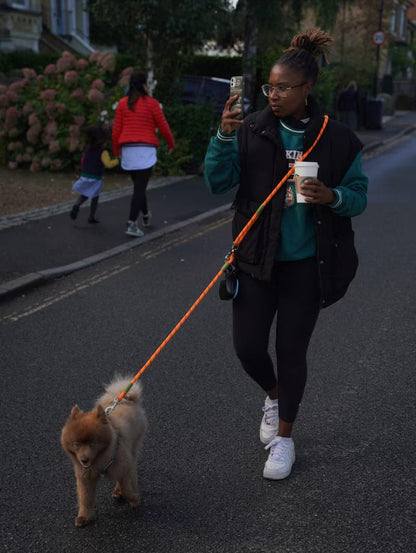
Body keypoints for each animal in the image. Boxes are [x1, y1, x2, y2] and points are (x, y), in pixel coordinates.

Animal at [61, 376, 147, 528]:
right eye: (76, 444)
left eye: (92, 443)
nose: (84, 459)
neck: (100, 460)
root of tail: (127, 399)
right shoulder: (85, 477)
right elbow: (85, 498)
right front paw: (83, 516)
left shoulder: (125, 466)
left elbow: (127, 487)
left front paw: (134, 498)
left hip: (133, 447)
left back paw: (118, 491)